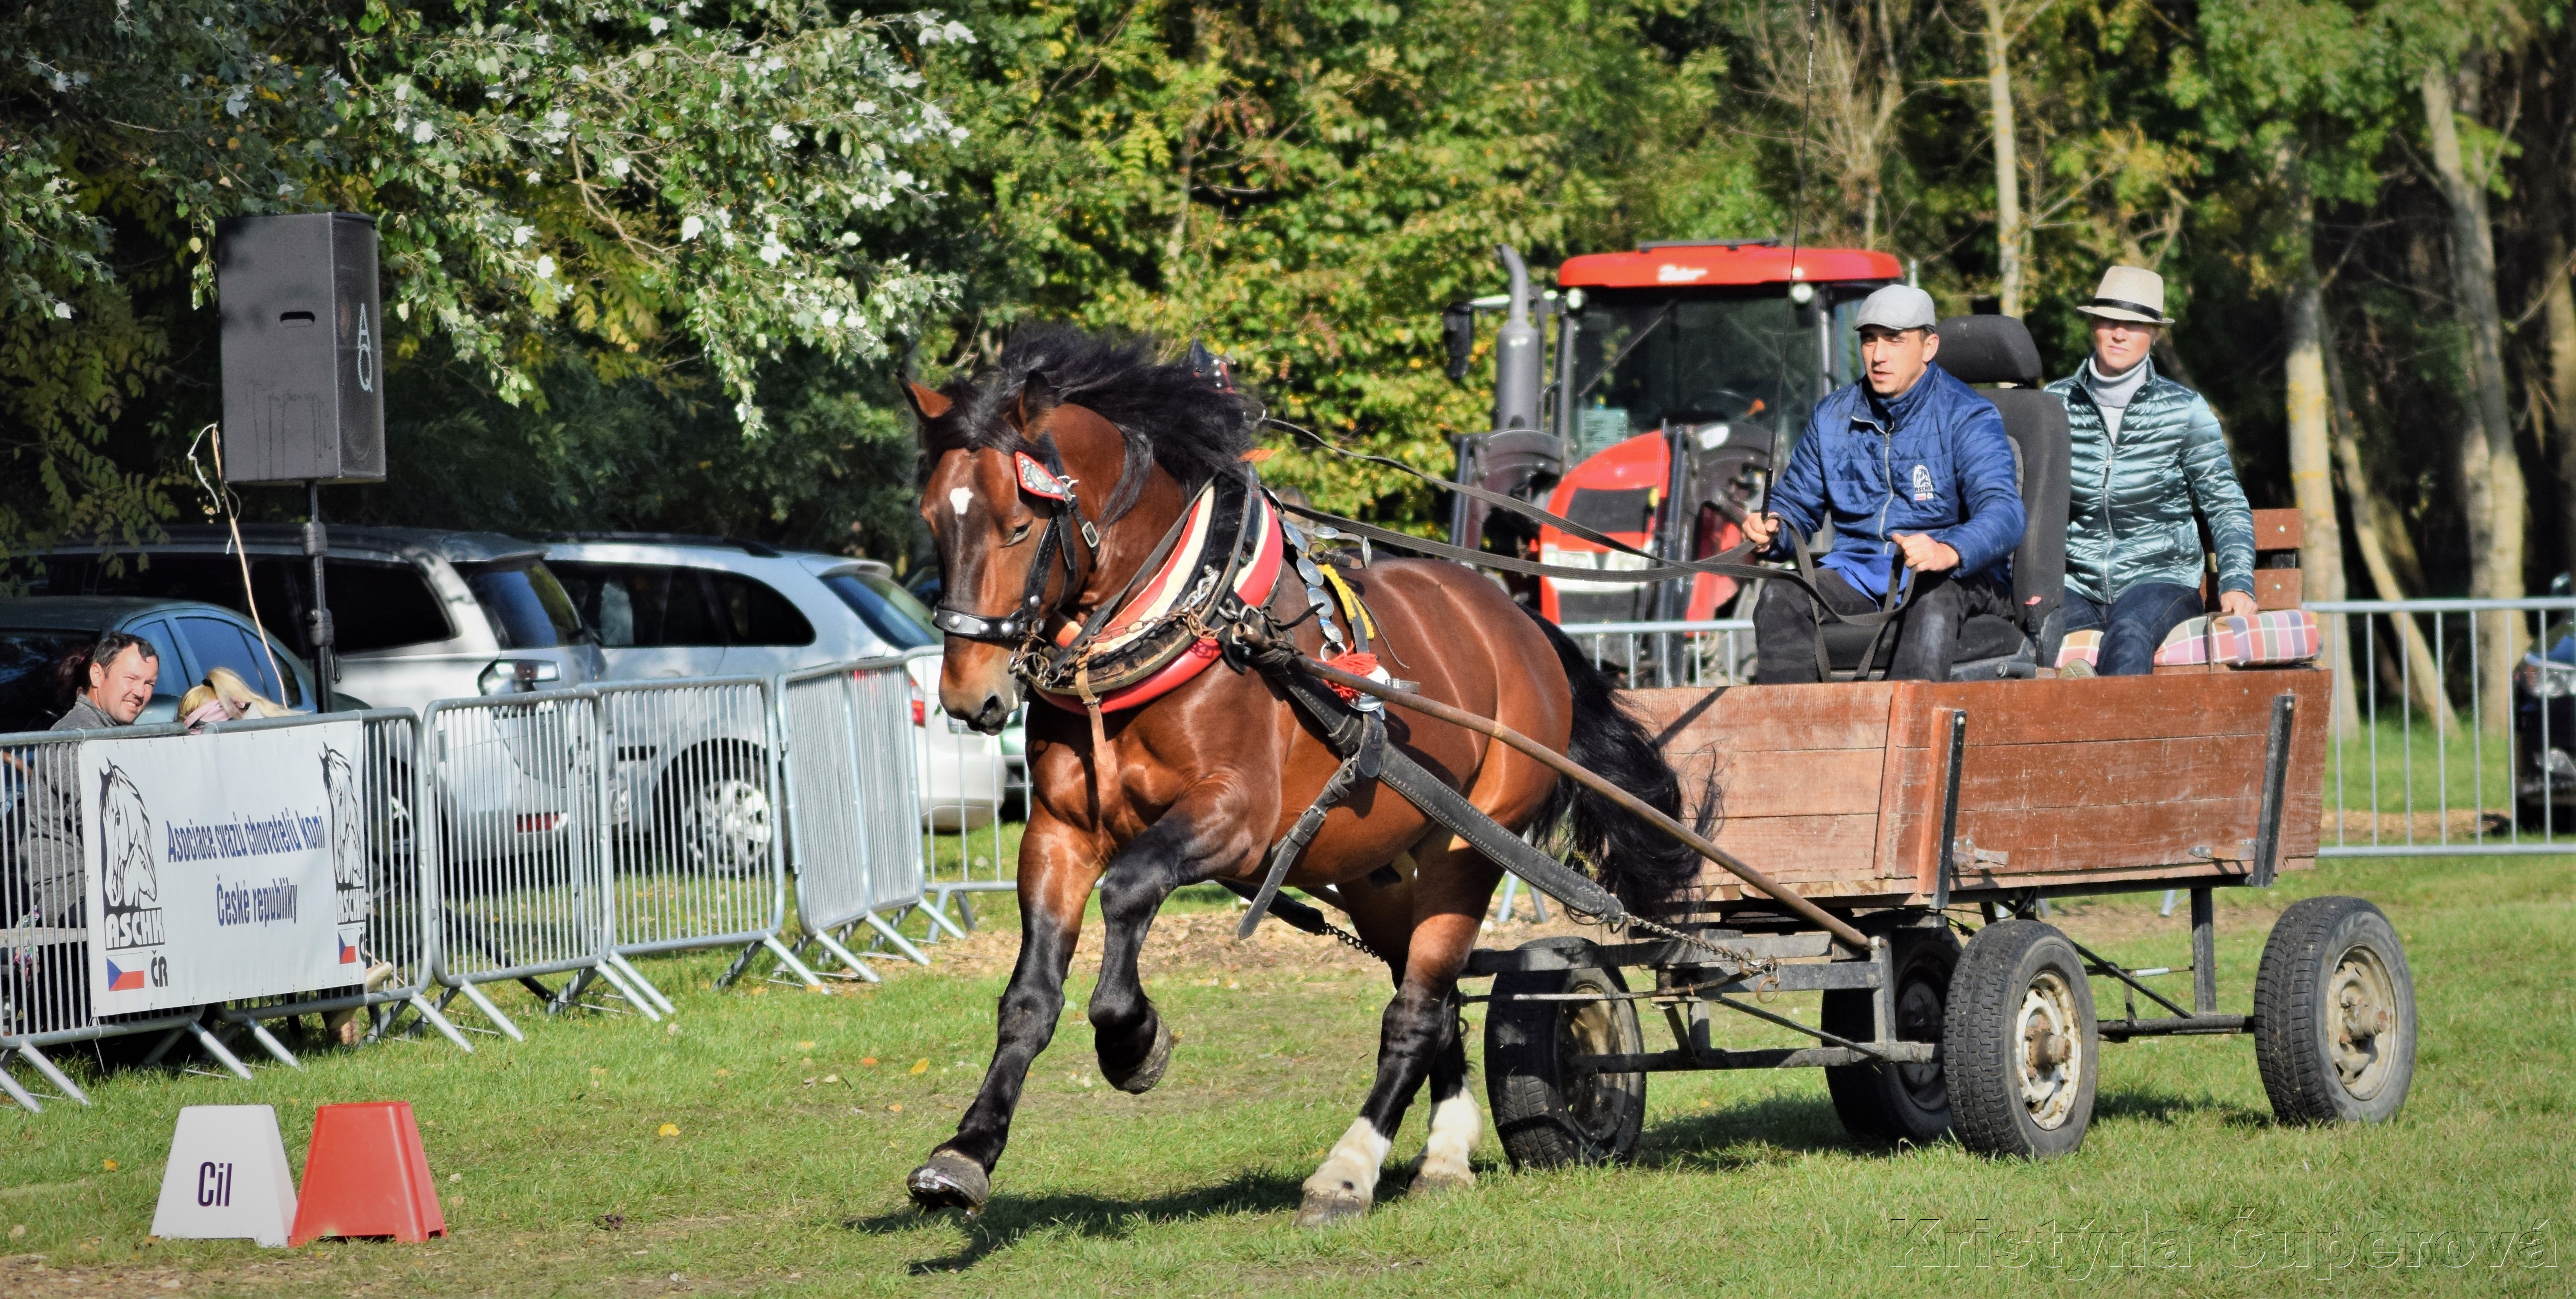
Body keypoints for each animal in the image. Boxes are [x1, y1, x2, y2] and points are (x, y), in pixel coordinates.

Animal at [901, 327, 1690, 1227]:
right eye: (933, 517)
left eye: (1019, 521)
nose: (969, 696)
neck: (1184, 621)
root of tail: (1518, 623)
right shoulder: (1060, 833)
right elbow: (1029, 997)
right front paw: (966, 1150)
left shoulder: (1237, 818)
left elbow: (1130, 888)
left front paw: (1133, 1038)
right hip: (1379, 872)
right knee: (1435, 1000)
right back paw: (1444, 1155)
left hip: (1466, 851)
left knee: (1413, 1012)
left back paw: (1346, 1173)